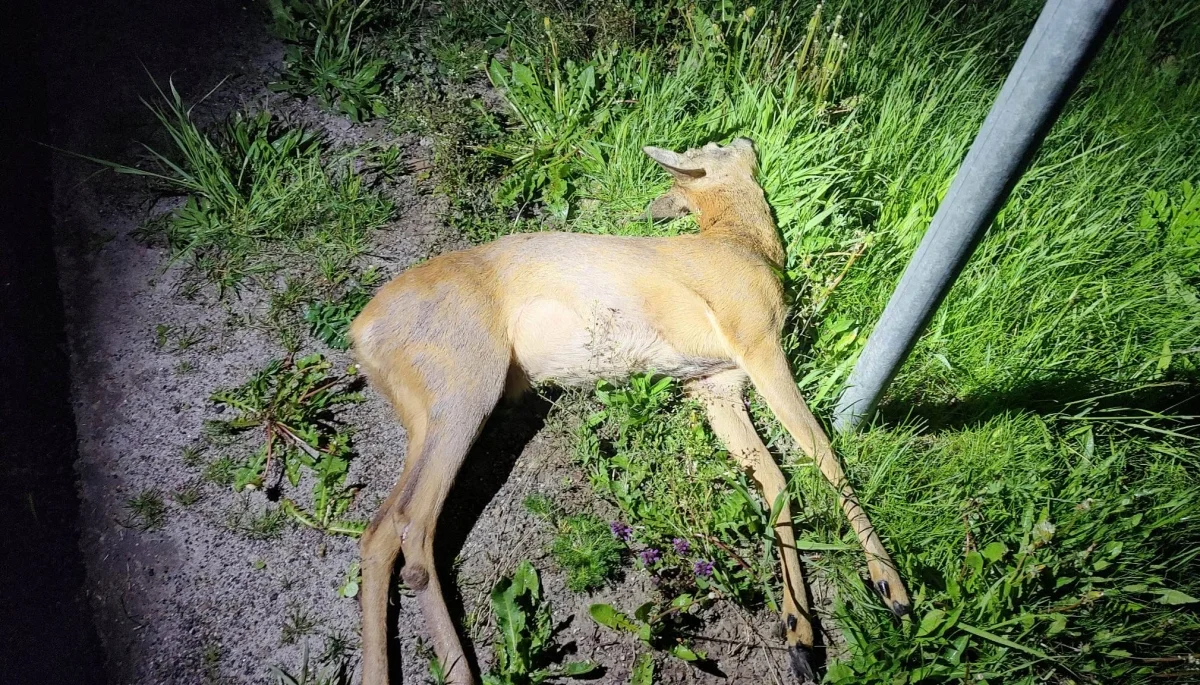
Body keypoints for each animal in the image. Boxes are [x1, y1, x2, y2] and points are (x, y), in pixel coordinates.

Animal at [350, 139, 907, 685]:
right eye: (716, 145)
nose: (747, 138)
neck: (743, 245)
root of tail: (361, 332)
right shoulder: (755, 337)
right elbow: (820, 448)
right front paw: (892, 588)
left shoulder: (714, 383)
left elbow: (774, 479)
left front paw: (799, 635)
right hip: (465, 383)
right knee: (413, 524)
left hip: (427, 410)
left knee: (380, 530)